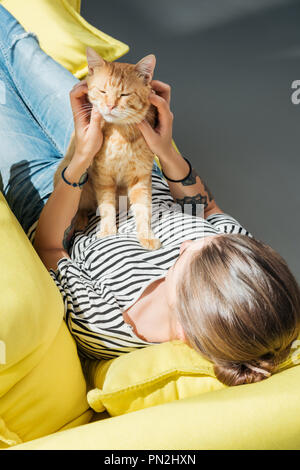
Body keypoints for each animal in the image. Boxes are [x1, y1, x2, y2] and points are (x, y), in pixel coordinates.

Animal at [54, 48, 162, 250]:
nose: (110, 106)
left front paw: (146, 235)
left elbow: (143, 209)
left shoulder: (140, 177)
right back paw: (79, 219)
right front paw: (108, 231)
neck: (120, 136)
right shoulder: (103, 176)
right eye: (103, 91)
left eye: (125, 95)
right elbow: (106, 206)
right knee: (82, 207)